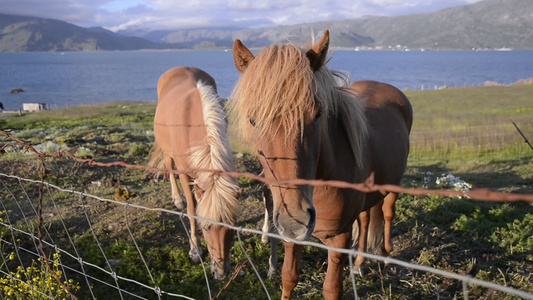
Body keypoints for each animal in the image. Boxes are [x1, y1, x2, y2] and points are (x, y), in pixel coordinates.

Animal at [151, 67, 240, 280]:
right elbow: (192, 209)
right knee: (169, 166)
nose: (220, 273)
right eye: (205, 228)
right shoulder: (185, 174)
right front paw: (194, 250)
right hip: (168, 151)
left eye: (232, 227)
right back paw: (177, 199)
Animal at [230, 29, 412, 298]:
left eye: (316, 114)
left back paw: (387, 257)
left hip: (393, 186)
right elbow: (288, 277)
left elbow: (332, 288)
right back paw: (359, 264)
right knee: (366, 220)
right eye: (253, 120)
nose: (295, 220)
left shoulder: (339, 238)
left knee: (388, 214)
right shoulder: (292, 238)